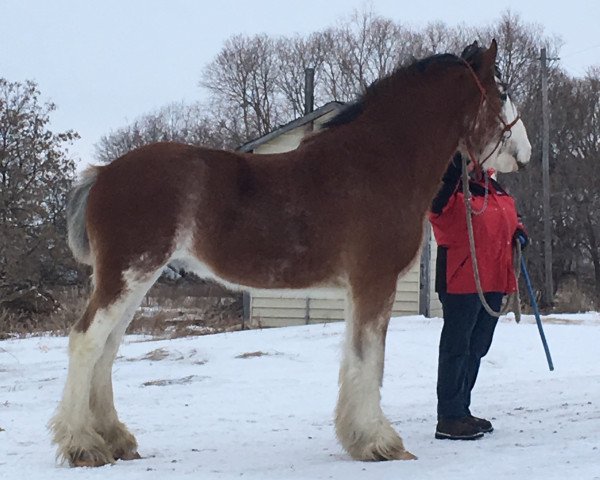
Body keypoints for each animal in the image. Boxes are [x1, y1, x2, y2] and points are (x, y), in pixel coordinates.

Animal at [50, 39, 528, 466]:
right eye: (503, 92)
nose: (523, 152)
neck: (378, 162)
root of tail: (103, 173)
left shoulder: (359, 288)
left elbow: (355, 356)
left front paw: (358, 438)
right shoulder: (375, 281)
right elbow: (369, 357)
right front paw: (379, 442)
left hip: (136, 278)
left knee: (108, 348)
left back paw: (116, 440)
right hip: (128, 273)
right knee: (87, 341)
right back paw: (83, 446)